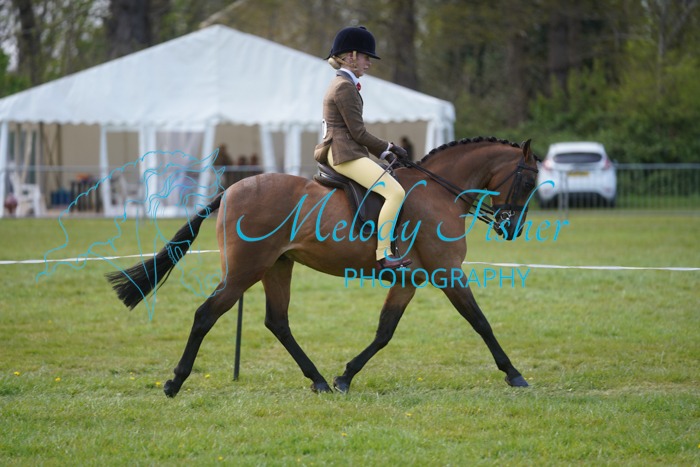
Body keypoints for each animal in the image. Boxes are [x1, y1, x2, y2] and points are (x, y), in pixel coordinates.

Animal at [106, 136, 539, 397]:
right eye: (527, 182)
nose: (512, 229)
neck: (439, 192)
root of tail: (229, 190)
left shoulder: (409, 280)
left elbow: (384, 332)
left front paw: (344, 377)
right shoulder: (447, 273)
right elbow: (480, 322)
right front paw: (514, 373)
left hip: (277, 266)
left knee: (277, 322)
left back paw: (317, 380)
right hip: (245, 271)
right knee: (205, 314)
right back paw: (174, 382)